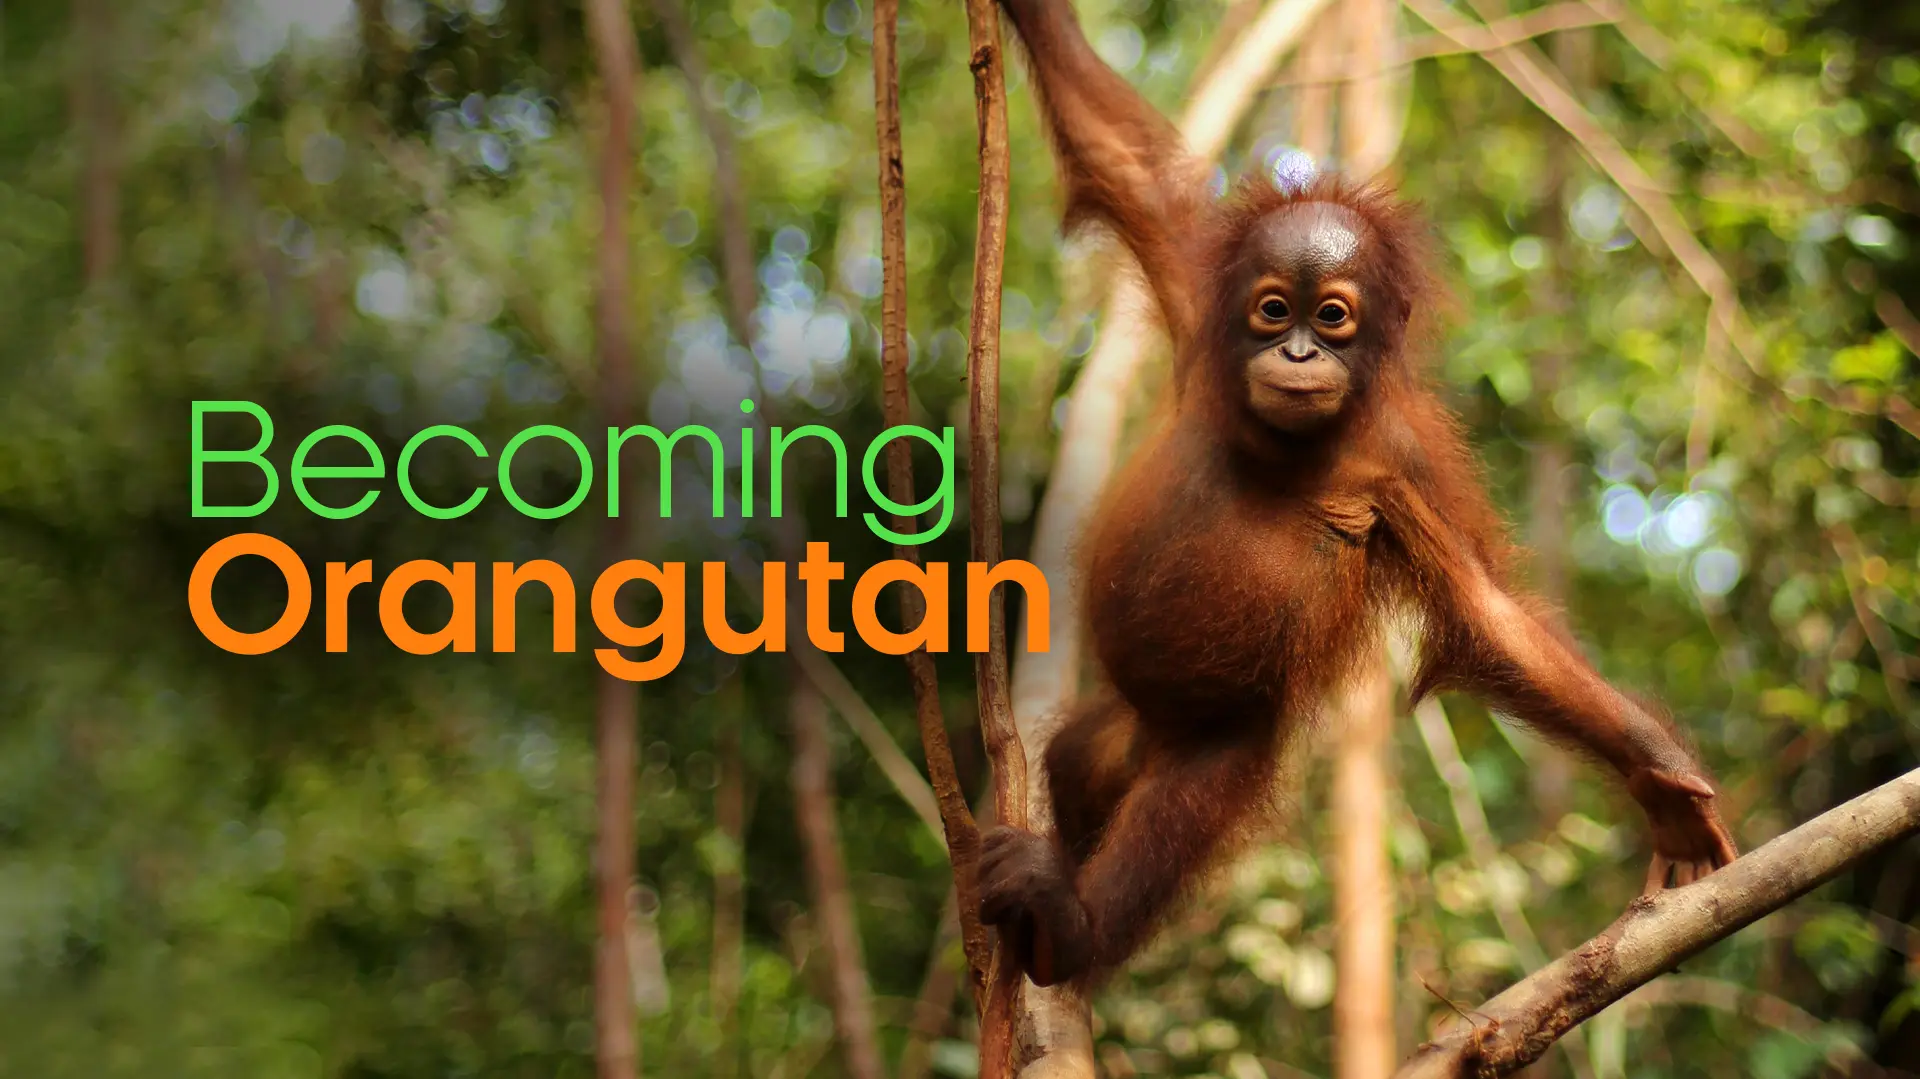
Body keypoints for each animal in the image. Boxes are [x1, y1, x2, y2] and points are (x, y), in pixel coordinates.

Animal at [976, 0, 1740, 989]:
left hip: (1223, 744)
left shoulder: (1406, 459)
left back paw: (1070, 925)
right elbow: (1121, 160)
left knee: (1178, 814)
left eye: (1332, 315)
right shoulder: (1196, 278)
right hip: (1119, 733)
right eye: (1273, 308)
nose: (1300, 352)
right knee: (1075, 761)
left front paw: (1662, 782)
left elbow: (1490, 614)